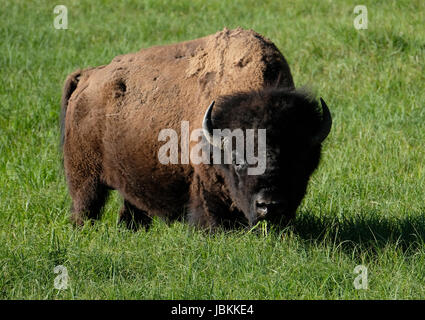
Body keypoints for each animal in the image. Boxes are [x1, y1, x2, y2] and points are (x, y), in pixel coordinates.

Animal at [59, 28, 332, 230]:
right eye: (238, 161)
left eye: (296, 160)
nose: (269, 205)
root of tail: (87, 77)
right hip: (85, 179)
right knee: (85, 206)